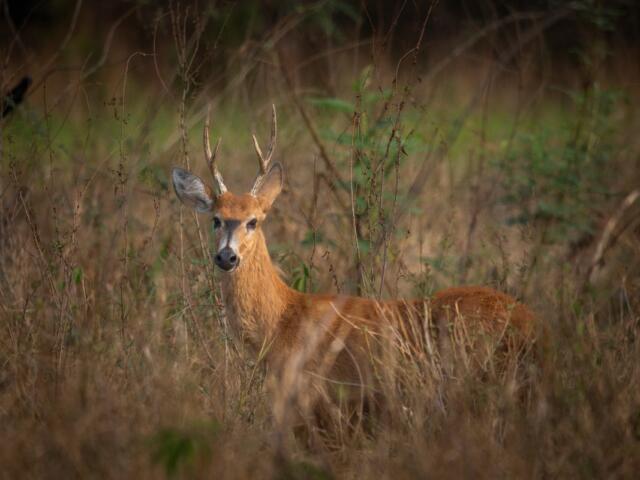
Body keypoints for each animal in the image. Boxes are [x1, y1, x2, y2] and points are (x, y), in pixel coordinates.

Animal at [171, 105, 536, 436]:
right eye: (216, 219)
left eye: (253, 221)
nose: (226, 257)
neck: (281, 322)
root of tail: (536, 328)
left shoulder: (315, 402)